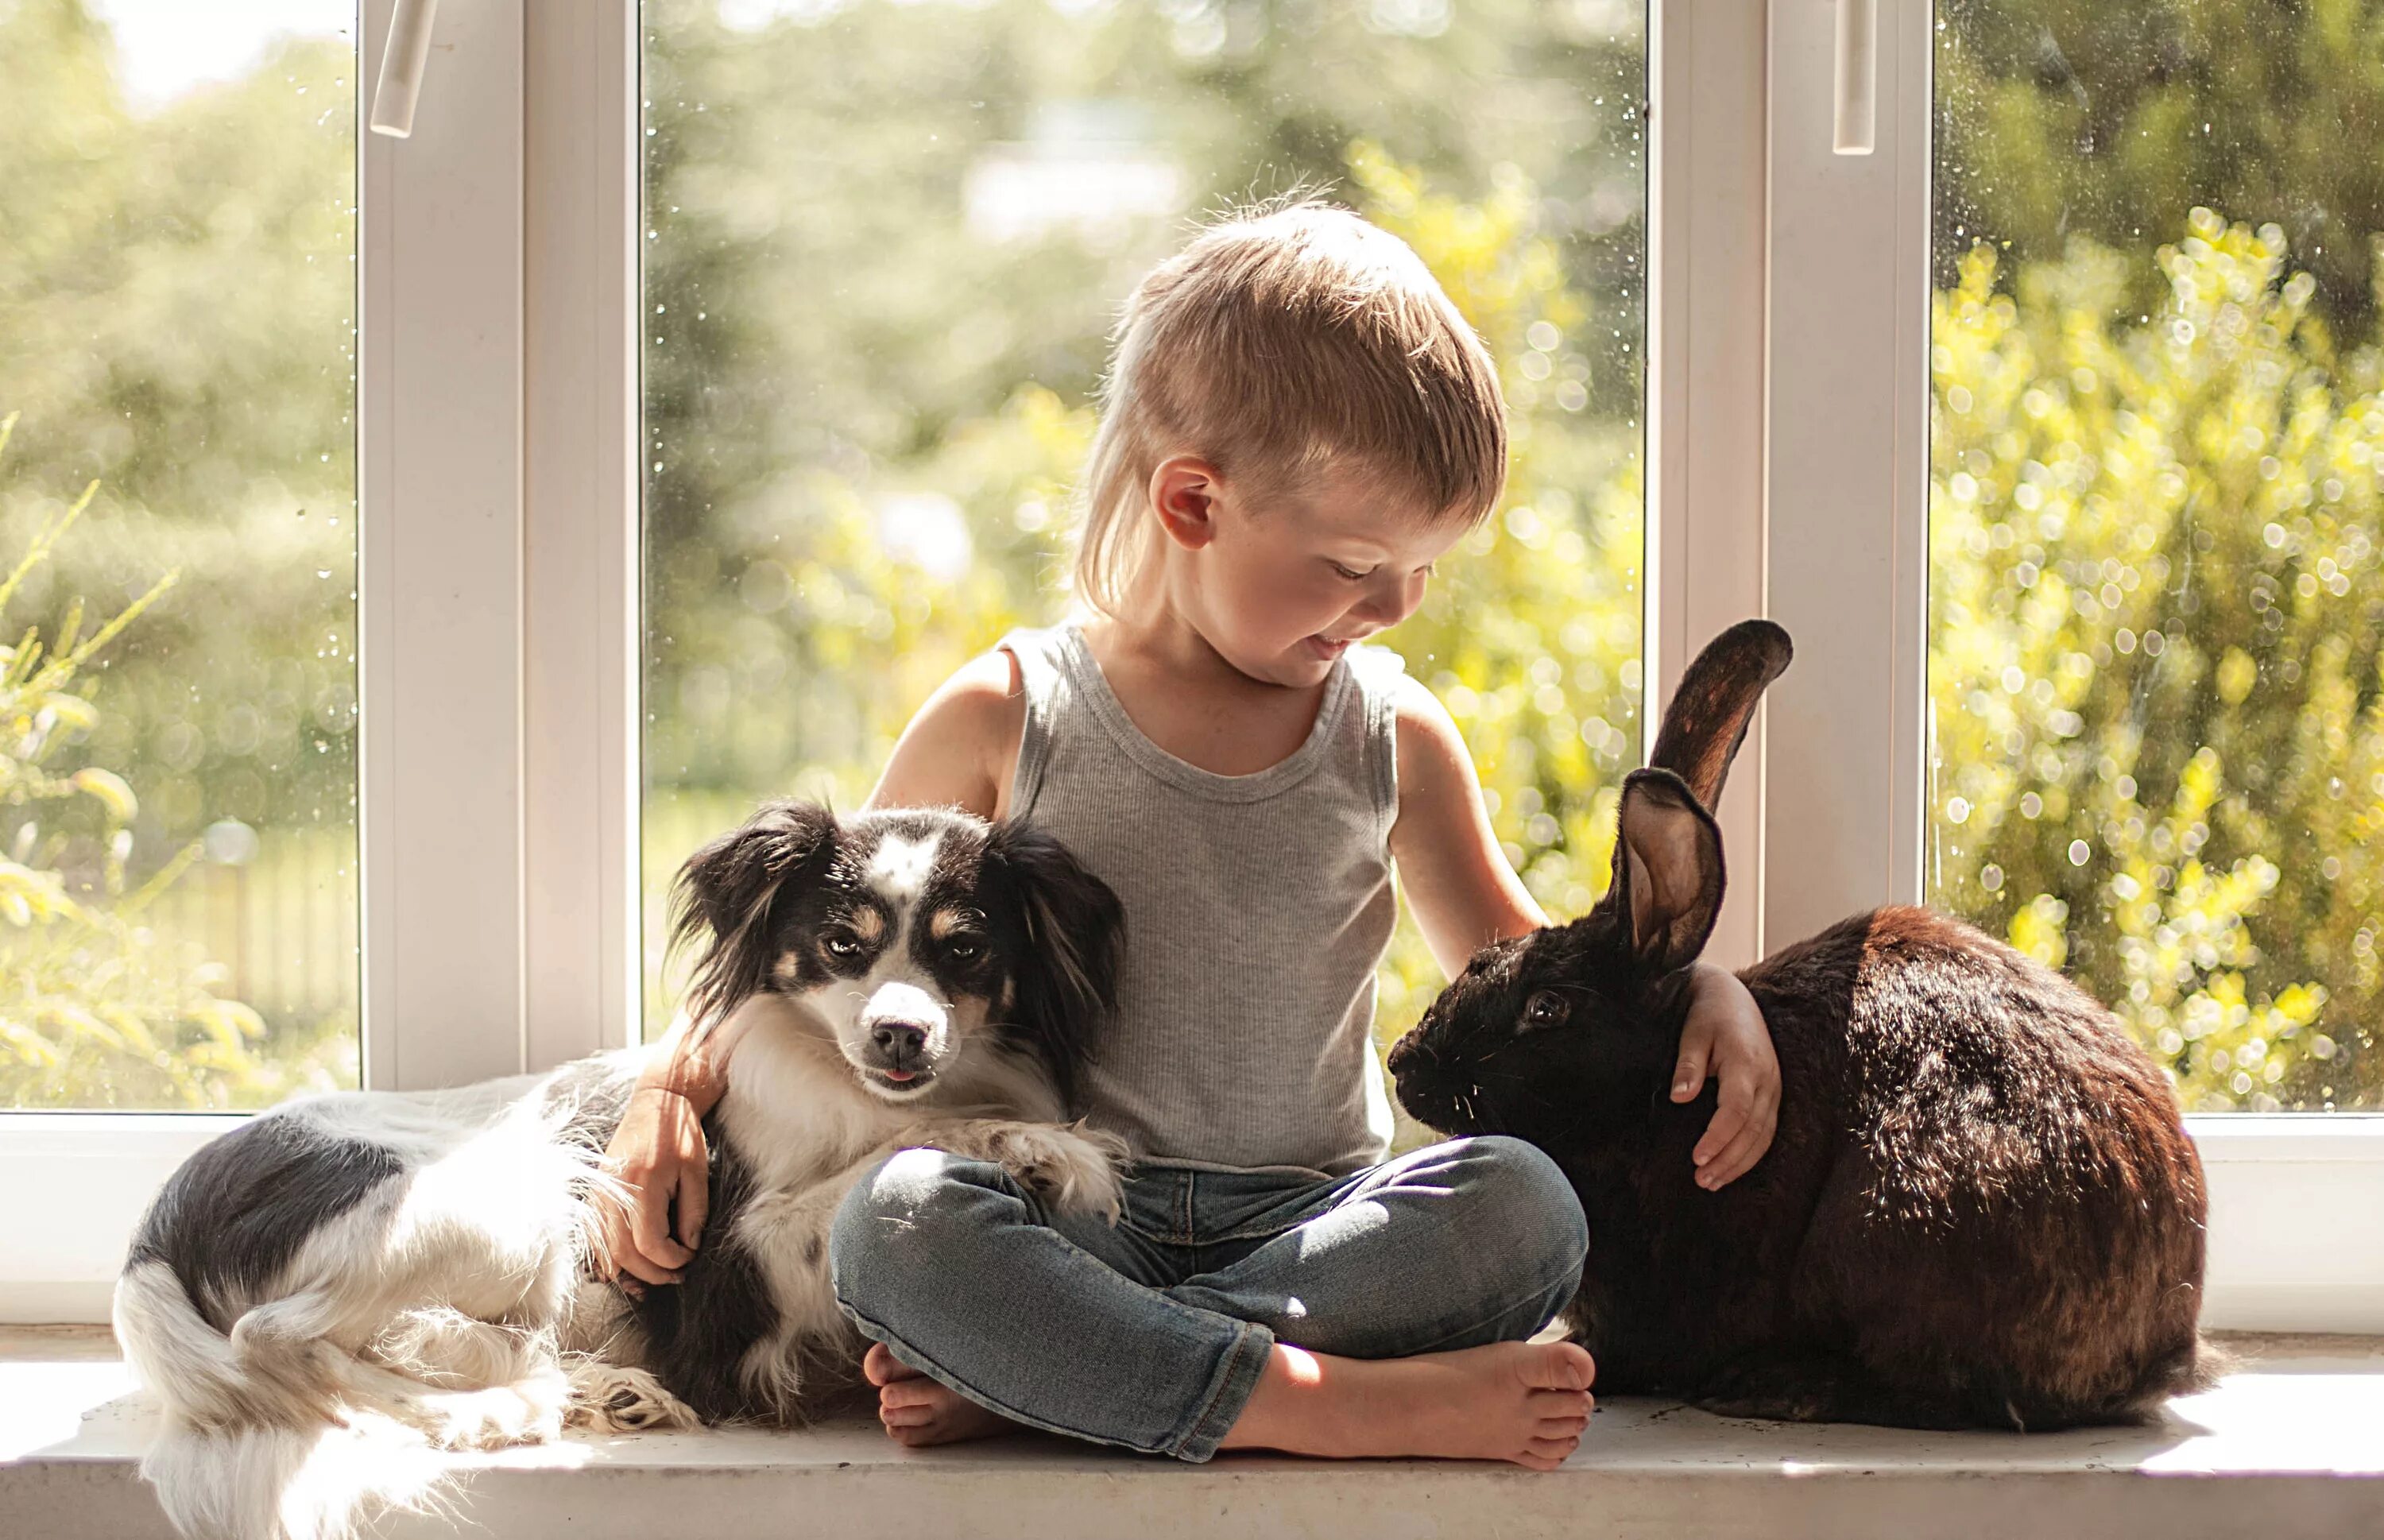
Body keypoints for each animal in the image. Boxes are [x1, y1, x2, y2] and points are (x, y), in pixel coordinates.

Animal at [116, 811, 1140, 1540]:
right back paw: (497, 1408)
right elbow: (899, 1147)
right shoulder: (737, 1265)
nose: (900, 1035)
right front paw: (1042, 1146)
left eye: (965, 948)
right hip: (506, 1209)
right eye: (842, 944)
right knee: (274, 1339)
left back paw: (581, 1390)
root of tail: (150, 1243)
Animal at [1392, 620, 2203, 1440]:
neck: (1648, 1102)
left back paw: (1771, 1386)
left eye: (1547, 1009)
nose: (1404, 1062)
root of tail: (2163, 1345)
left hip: (1891, 1221)